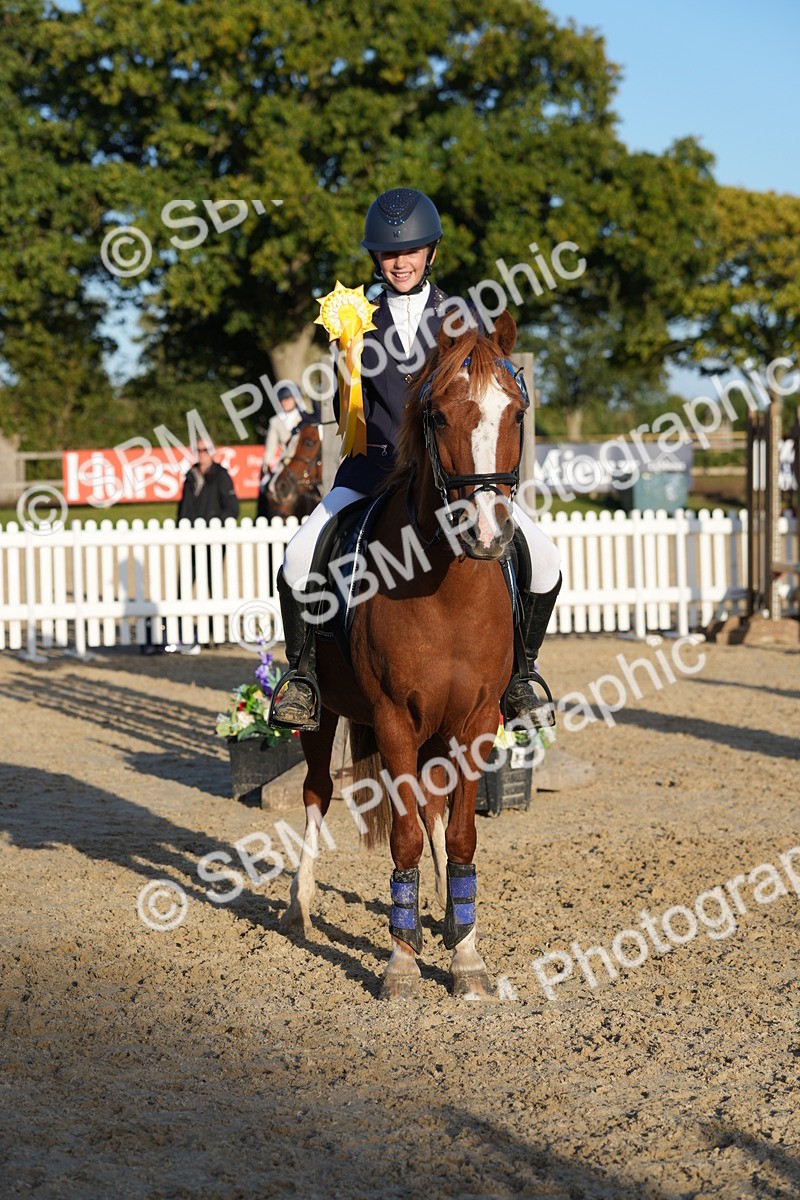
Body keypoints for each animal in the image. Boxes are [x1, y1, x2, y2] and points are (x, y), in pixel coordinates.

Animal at [280, 310, 529, 1000]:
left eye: (517, 411)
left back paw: (445, 913)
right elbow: (407, 838)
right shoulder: (393, 717)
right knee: (316, 792)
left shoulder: (475, 720)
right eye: (438, 416)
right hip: (326, 719)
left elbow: (461, 832)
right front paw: (400, 962)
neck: (445, 588)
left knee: (437, 806)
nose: (487, 532)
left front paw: (466, 955)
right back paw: (301, 904)